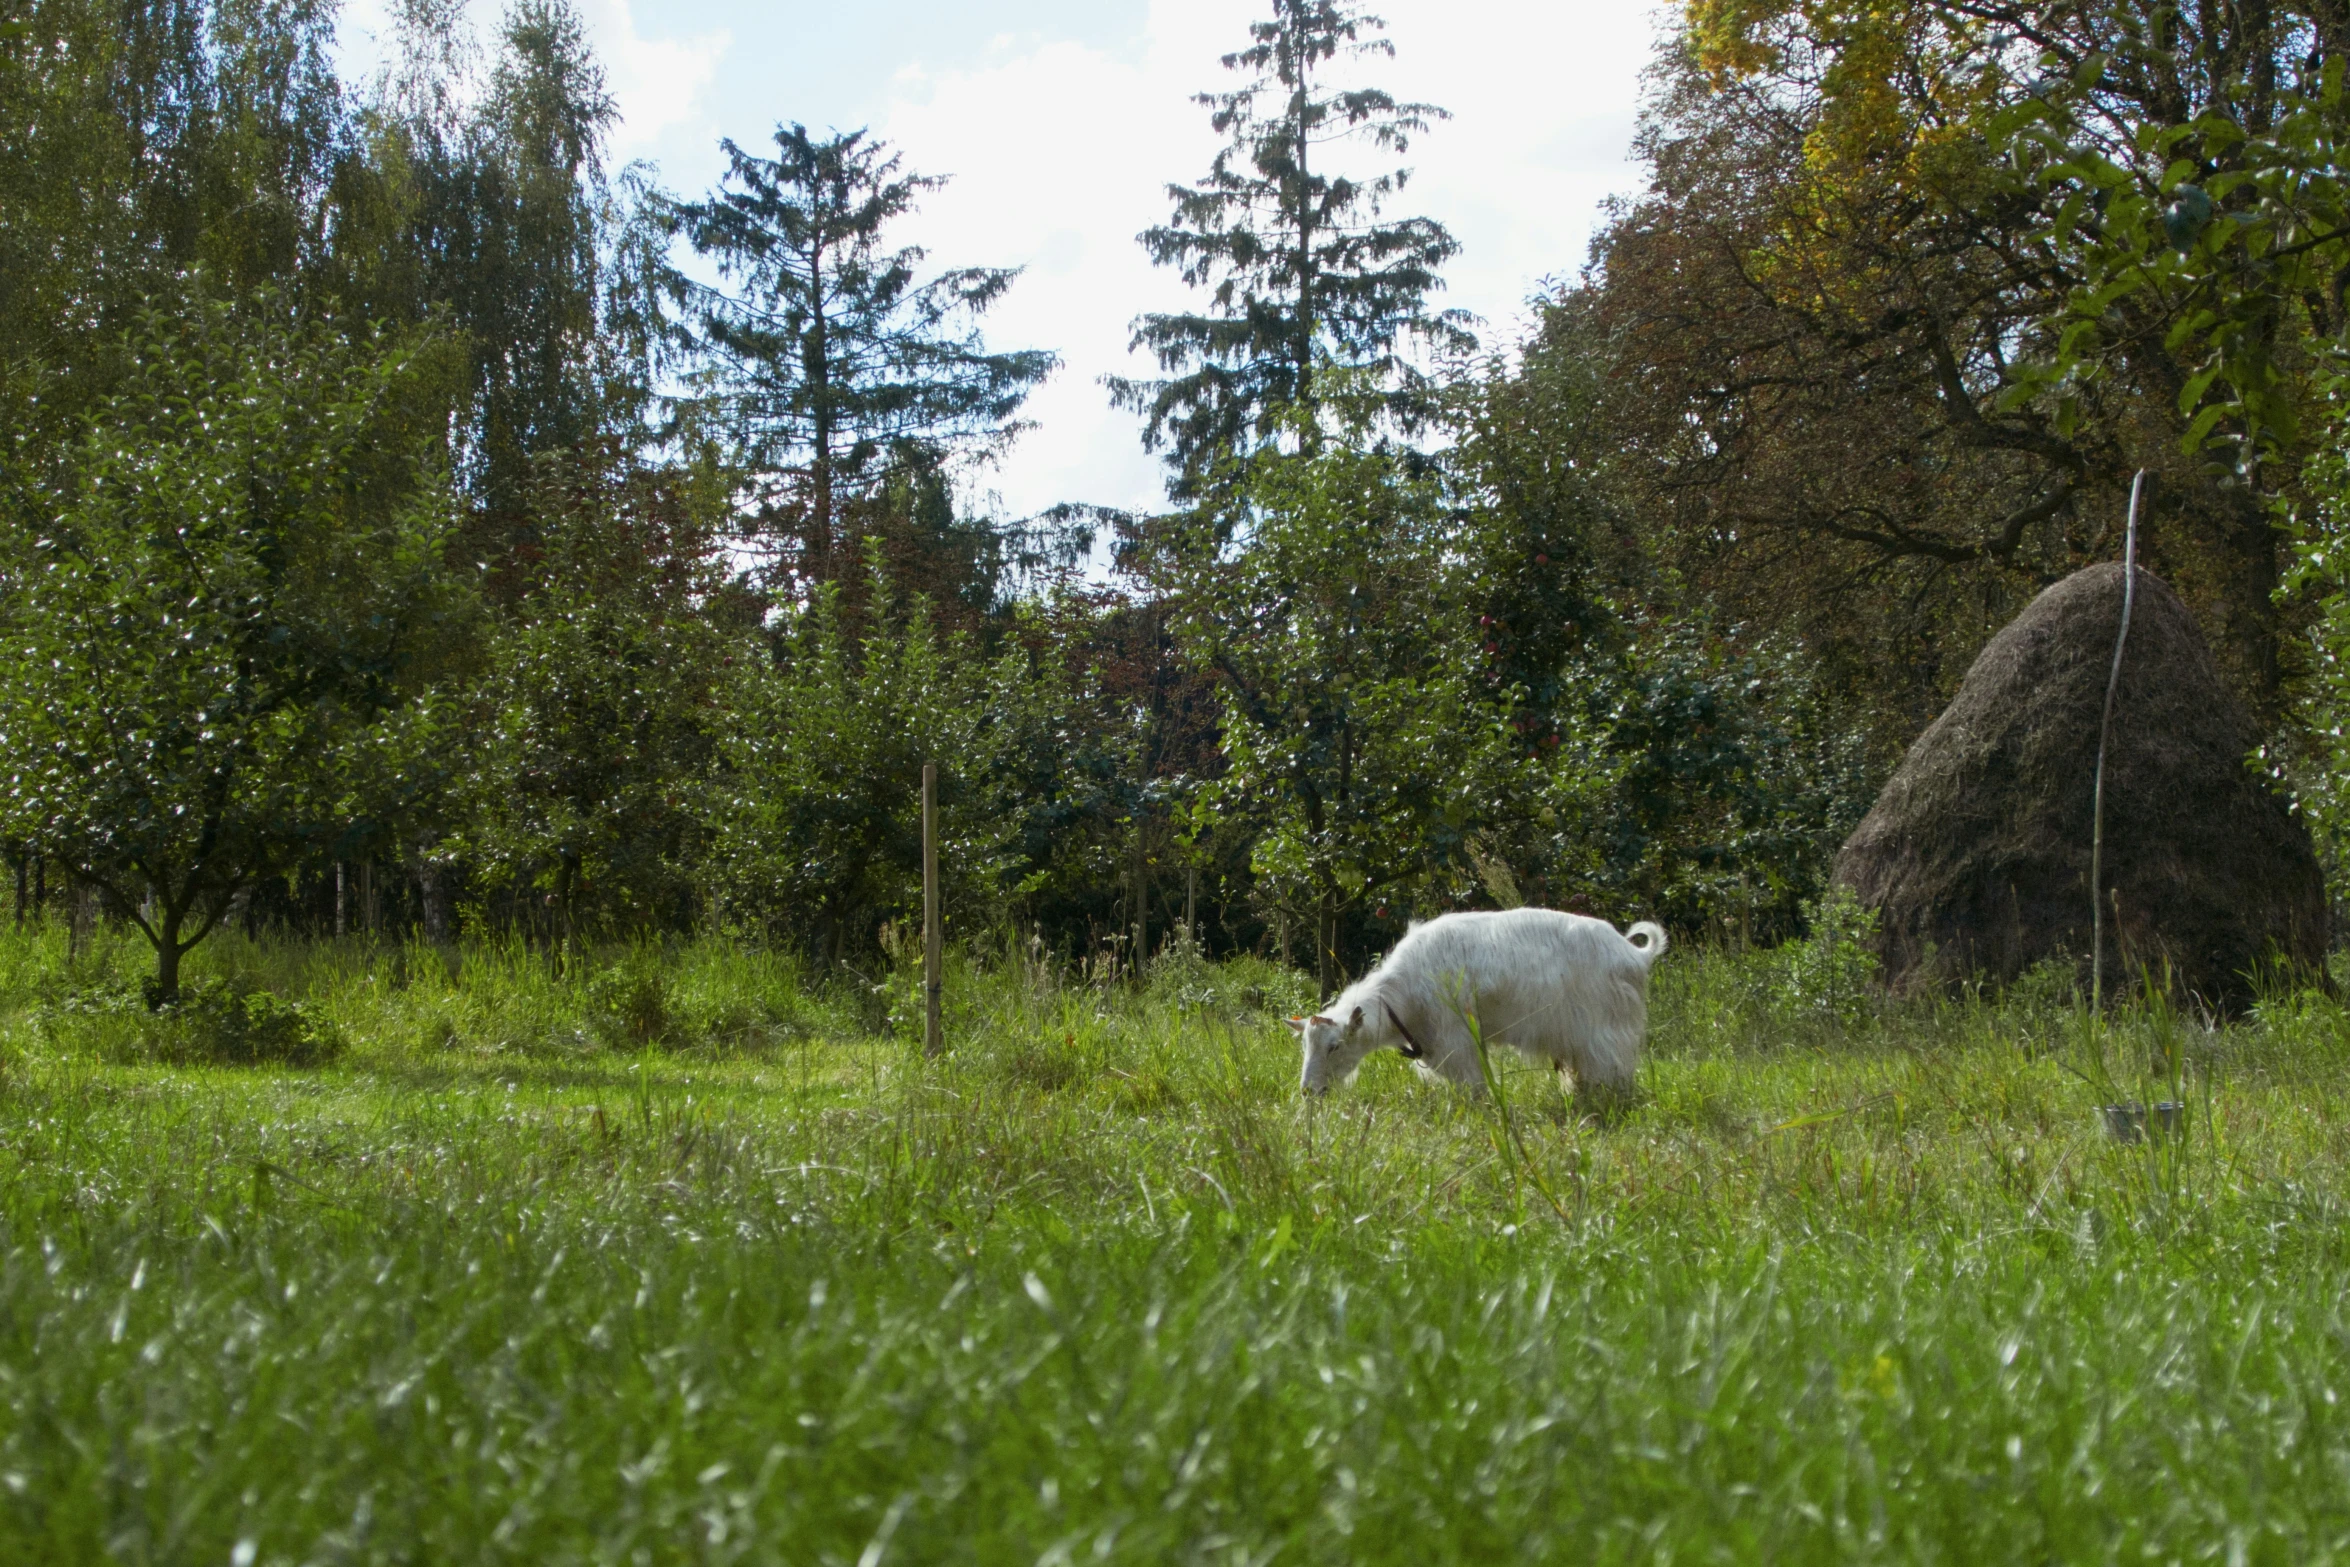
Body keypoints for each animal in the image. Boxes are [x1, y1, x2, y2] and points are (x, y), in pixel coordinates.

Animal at [1297, 911, 1663, 1099]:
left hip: (1605, 1031)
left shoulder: (1456, 1040)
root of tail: (1635, 954)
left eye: (1334, 1046)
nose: (1308, 1091)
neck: (1403, 993)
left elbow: (1472, 1083)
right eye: (1306, 1046)